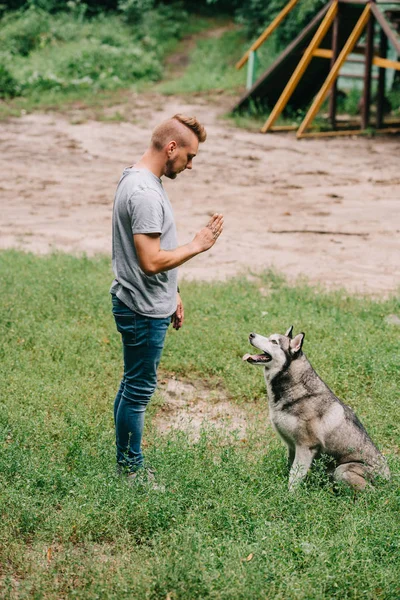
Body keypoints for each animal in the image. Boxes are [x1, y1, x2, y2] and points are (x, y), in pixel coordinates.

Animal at [242, 328, 390, 492]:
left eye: (274, 342)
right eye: (270, 337)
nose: (251, 334)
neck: (297, 389)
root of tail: (389, 480)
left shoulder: (306, 447)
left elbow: (294, 477)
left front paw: (289, 496)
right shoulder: (292, 447)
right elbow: (290, 469)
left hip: (342, 471)